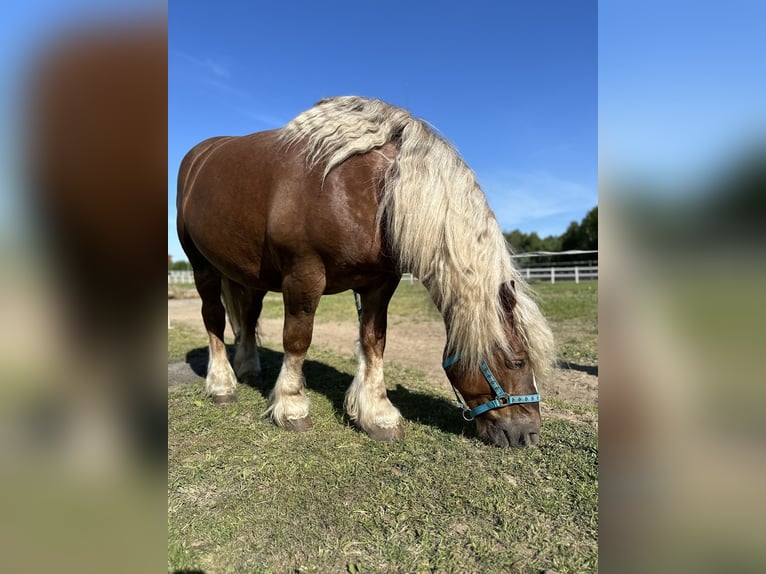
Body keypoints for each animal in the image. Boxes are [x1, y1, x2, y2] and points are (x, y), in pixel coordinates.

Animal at [177, 95, 556, 450]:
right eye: (518, 362)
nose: (528, 434)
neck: (369, 189)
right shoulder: (304, 274)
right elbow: (297, 339)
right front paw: (292, 407)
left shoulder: (380, 283)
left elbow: (374, 341)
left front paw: (377, 415)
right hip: (203, 267)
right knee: (213, 320)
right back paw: (222, 385)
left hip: (249, 276)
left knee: (248, 315)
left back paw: (248, 369)